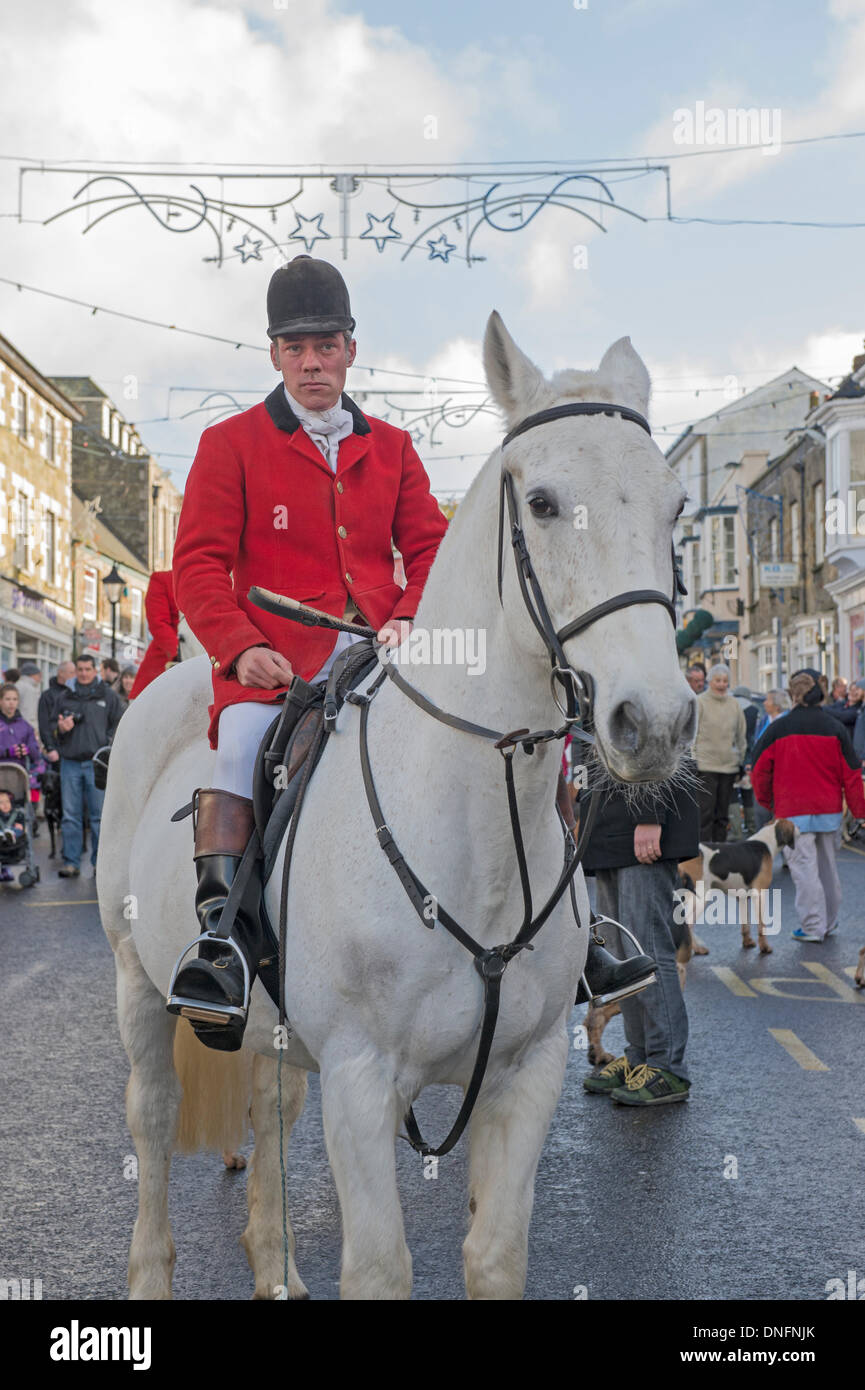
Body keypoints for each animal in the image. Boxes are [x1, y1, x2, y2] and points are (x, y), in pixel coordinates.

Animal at [100, 309, 698, 1295]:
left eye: (674, 506)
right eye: (540, 502)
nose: (654, 721)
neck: (477, 830)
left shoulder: (526, 1075)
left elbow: (494, 1256)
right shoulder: (360, 1077)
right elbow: (380, 1266)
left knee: (269, 1109)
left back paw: (274, 1266)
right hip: (137, 981)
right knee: (149, 1118)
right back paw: (151, 1272)